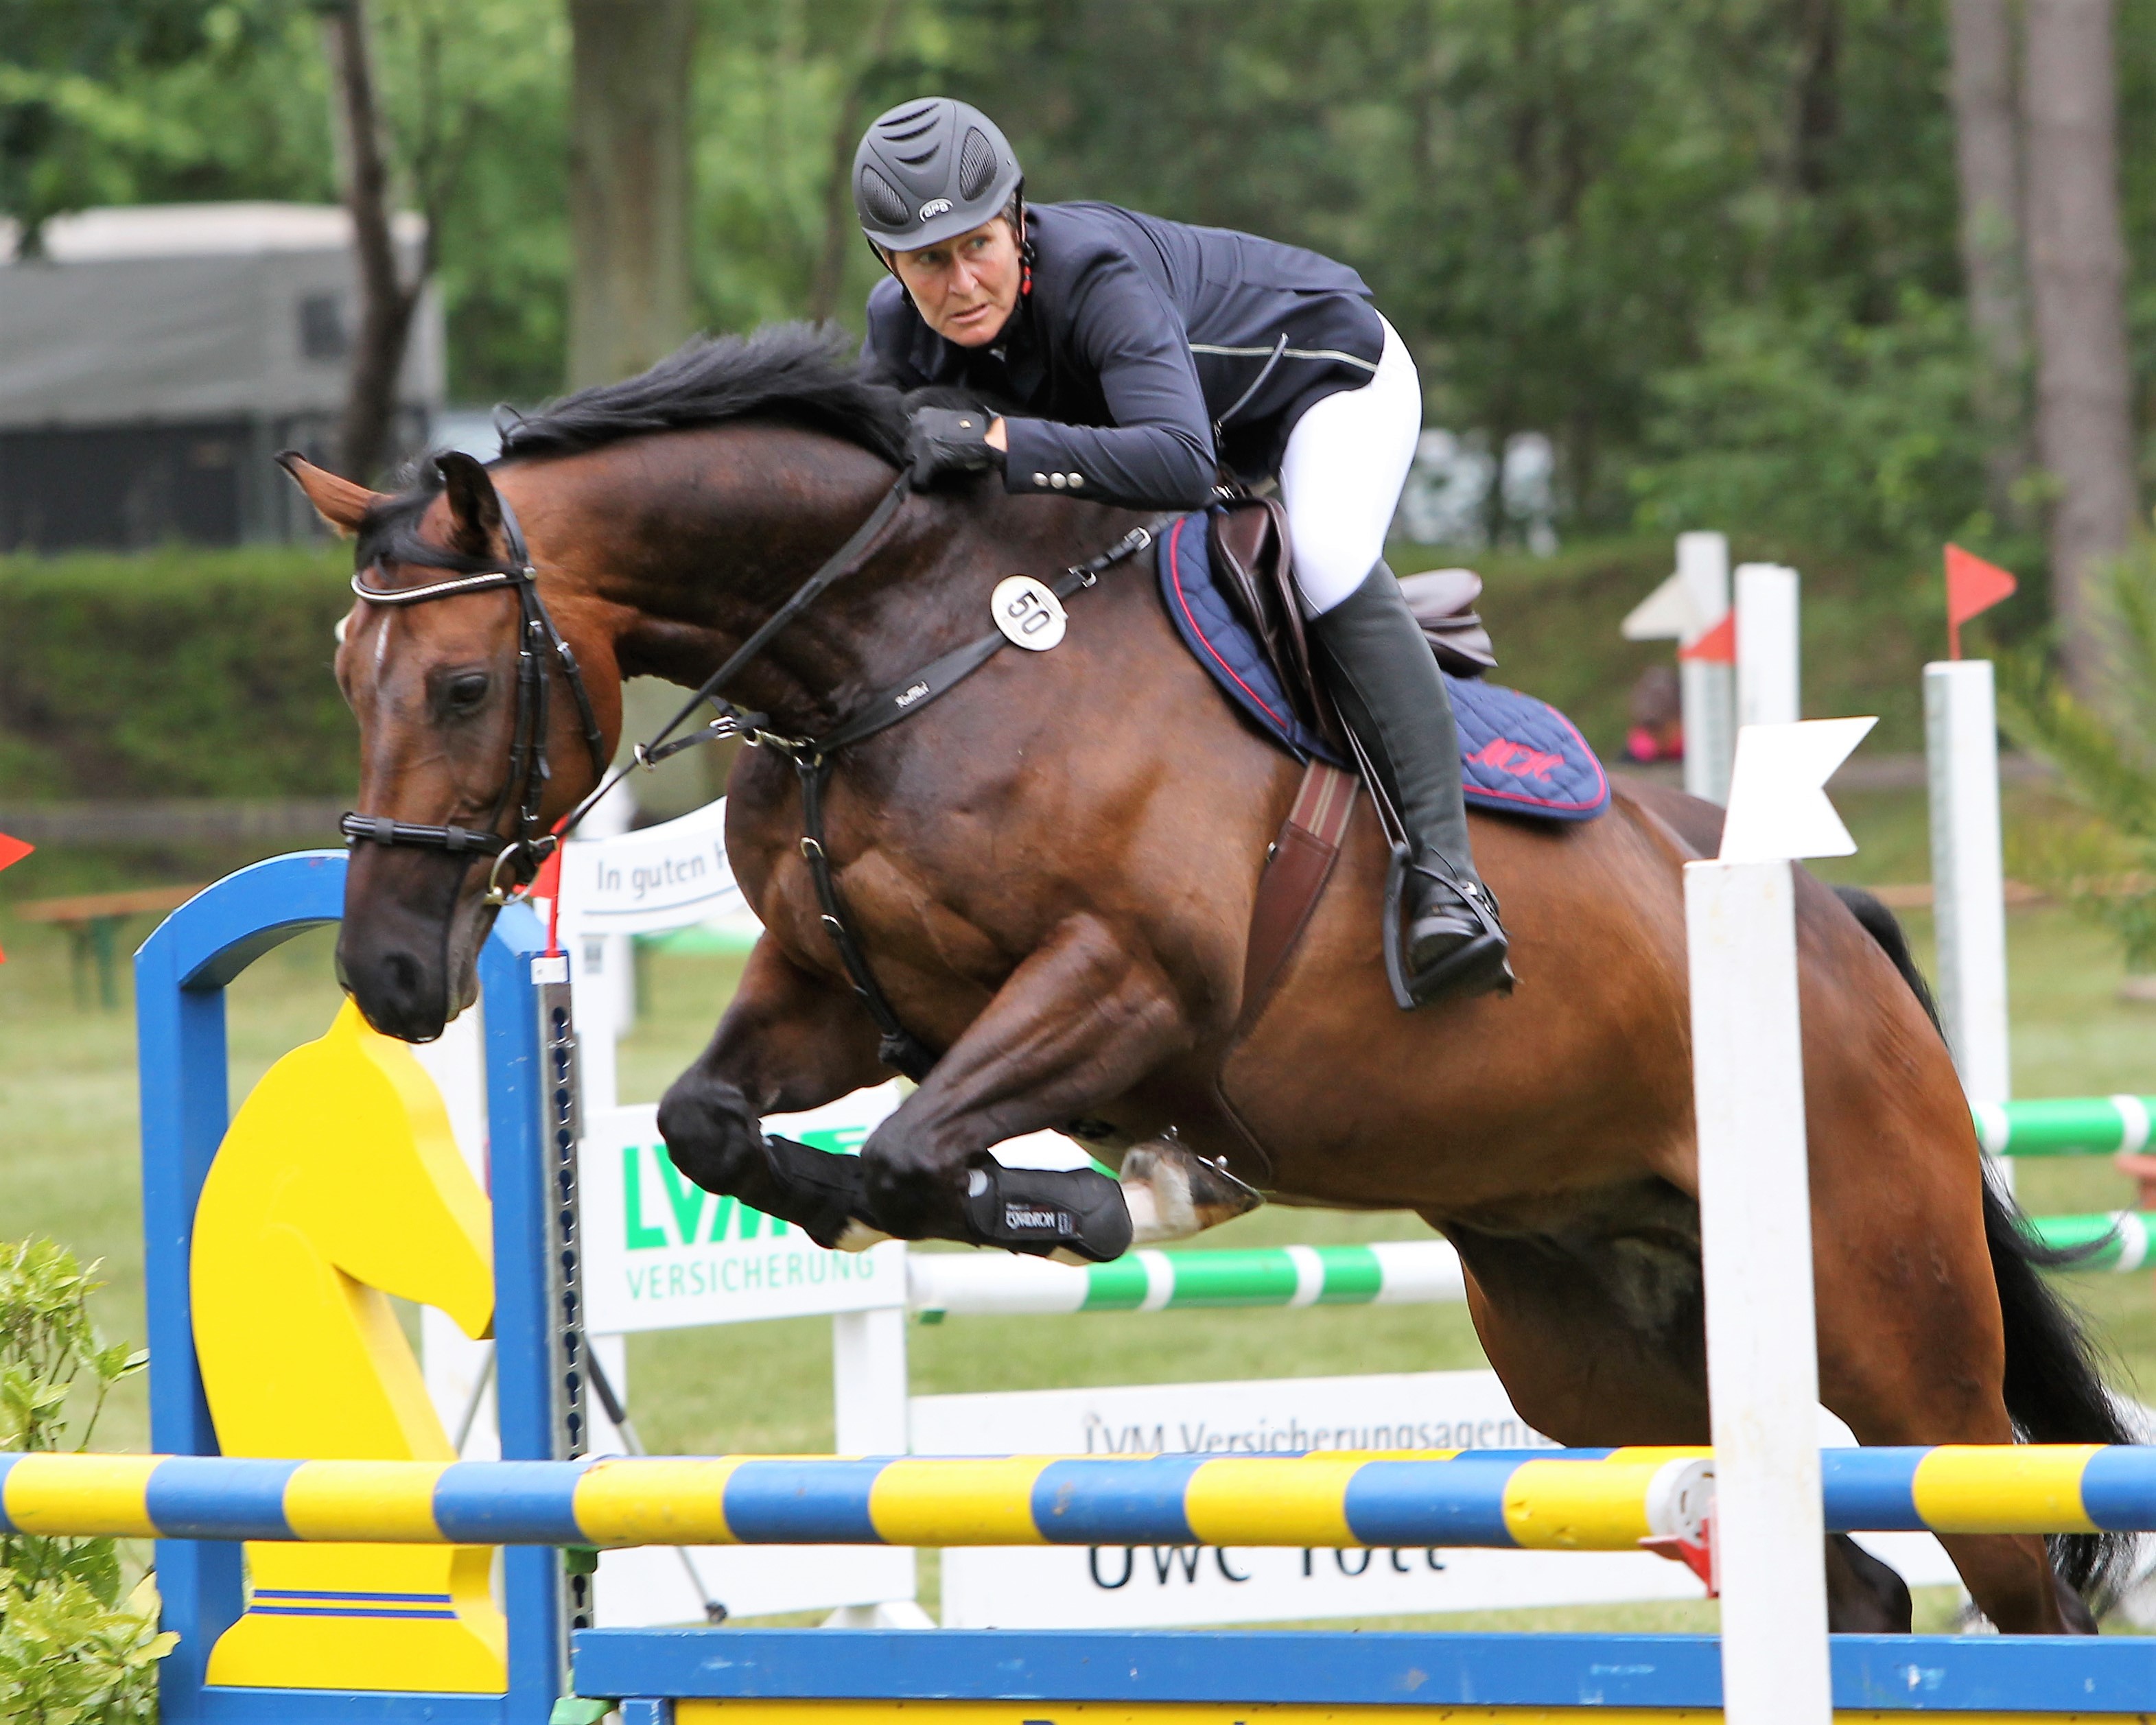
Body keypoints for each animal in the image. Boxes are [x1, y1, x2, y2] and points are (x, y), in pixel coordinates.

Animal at [291, 319, 2138, 1630]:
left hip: (1891, 1325)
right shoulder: (836, 994)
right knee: (1852, 1585)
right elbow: (710, 1124)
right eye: (346, 676)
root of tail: (1838, 934)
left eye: (461, 685)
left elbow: (915, 1151)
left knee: (2012, 1558)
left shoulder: (1124, 986)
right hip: (1601, 1353)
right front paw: (893, 1213)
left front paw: (1111, 1203)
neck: (894, 648)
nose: (385, 973)